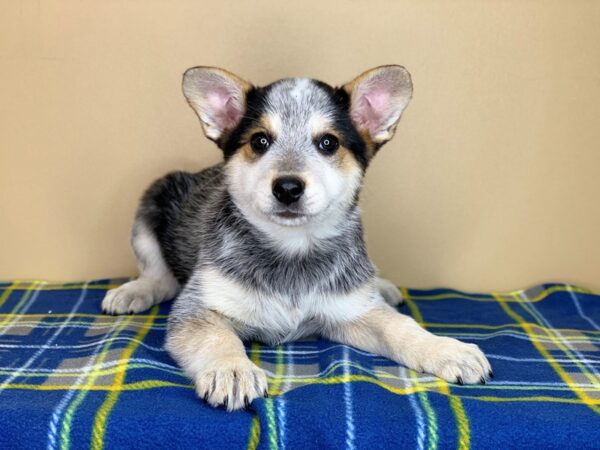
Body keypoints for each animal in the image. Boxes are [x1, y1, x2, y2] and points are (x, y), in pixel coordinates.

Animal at [102, 65, 492, 410]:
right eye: (260, 140)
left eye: (328, 142)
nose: (287, 187)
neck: (292, 253)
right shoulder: (199, 307)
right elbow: (216, 337)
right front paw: (232, 369)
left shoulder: (351, 310)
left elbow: (399, 327)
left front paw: (445, 348)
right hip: (153, 200)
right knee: (160, 276)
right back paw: (135, 290)